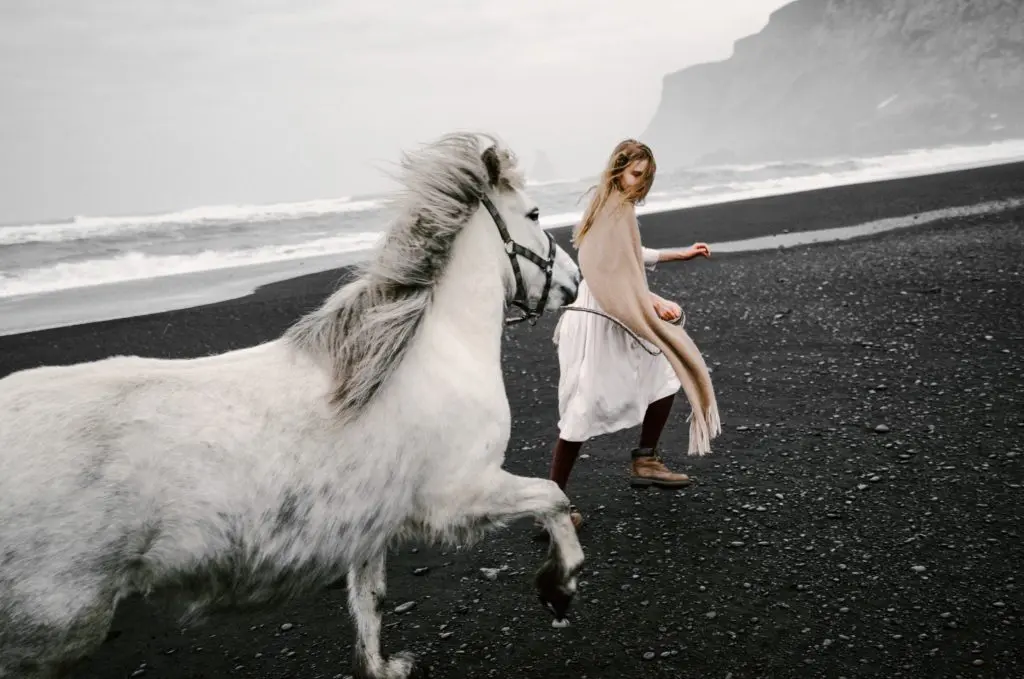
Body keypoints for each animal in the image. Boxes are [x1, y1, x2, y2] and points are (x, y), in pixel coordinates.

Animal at [0, 134, 585, 679]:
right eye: (534, 214)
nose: (575, 281)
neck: (433, 350)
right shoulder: (460, 493)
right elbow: (553, 498)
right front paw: (558, 588)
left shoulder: (371, 522)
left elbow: (369, 600)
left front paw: (381, 667)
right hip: (51, 633)